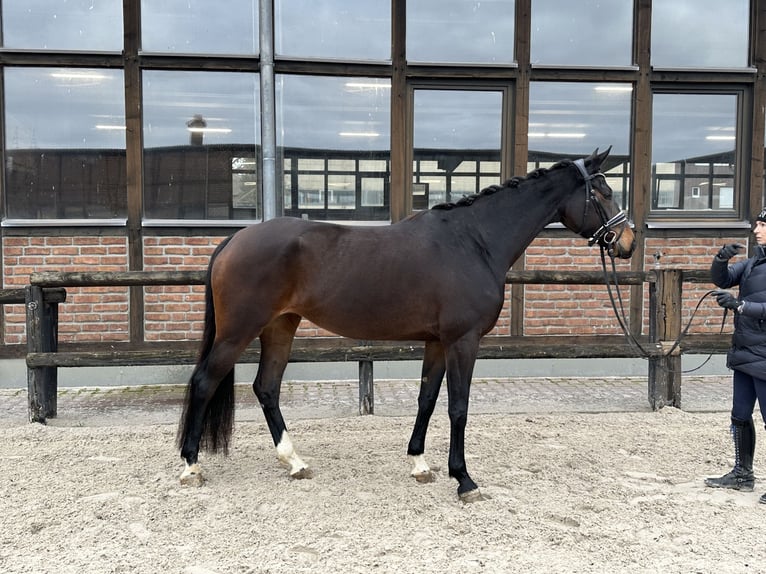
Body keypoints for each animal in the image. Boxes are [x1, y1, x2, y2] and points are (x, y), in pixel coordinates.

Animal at [178, 150, 636, 504]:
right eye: (603, 191)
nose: (628, 242)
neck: (474, 242)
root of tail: (234, 240)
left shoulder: (437, 342)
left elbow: (427, 400)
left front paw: (419, 463)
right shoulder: (463, 341)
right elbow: (458, 407)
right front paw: (464, 480)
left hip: (280, 326)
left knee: (266, 387)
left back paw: (295, 462)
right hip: (238, 332)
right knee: (203, 382)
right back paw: (190, 467)